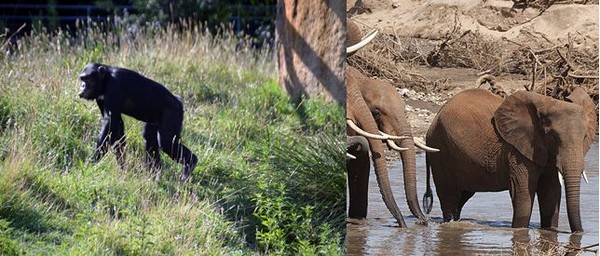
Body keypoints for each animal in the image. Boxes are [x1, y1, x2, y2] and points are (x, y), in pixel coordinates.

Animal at [424, 87, 596, 232]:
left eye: (585, 137)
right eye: (553, 137)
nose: (579, 232)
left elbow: (551, 194)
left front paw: (550, 230)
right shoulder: (517, 151)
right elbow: (523, 194)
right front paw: (519, 231)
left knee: (462, 196)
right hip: (440, 150)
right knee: (449, 196)